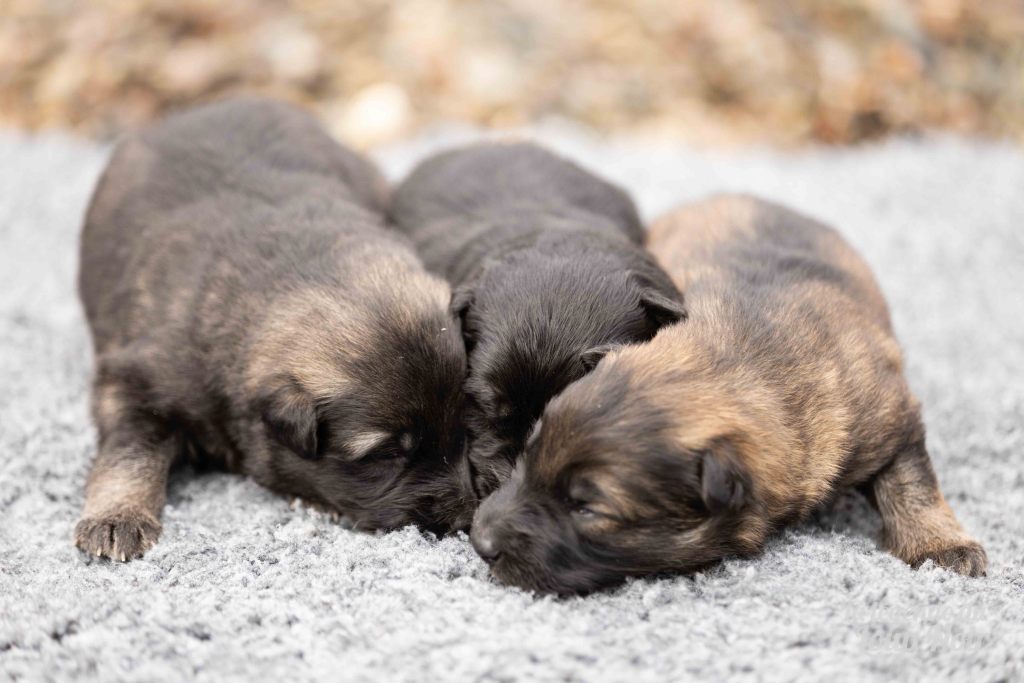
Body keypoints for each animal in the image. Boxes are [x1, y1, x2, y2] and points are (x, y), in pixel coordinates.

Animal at [76, 97, 474, 561]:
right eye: (387, 452)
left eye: (464, 429)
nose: (463, 516)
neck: (304, 268)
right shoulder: (135, 380)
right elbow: (130, 448)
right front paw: (117, 518)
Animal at [470, 194, 987, 594]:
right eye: (530, 453)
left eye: (586, 507)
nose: (479, 540)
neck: (746, 360)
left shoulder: (891, 413)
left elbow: (912, 481)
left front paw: (944, 546)